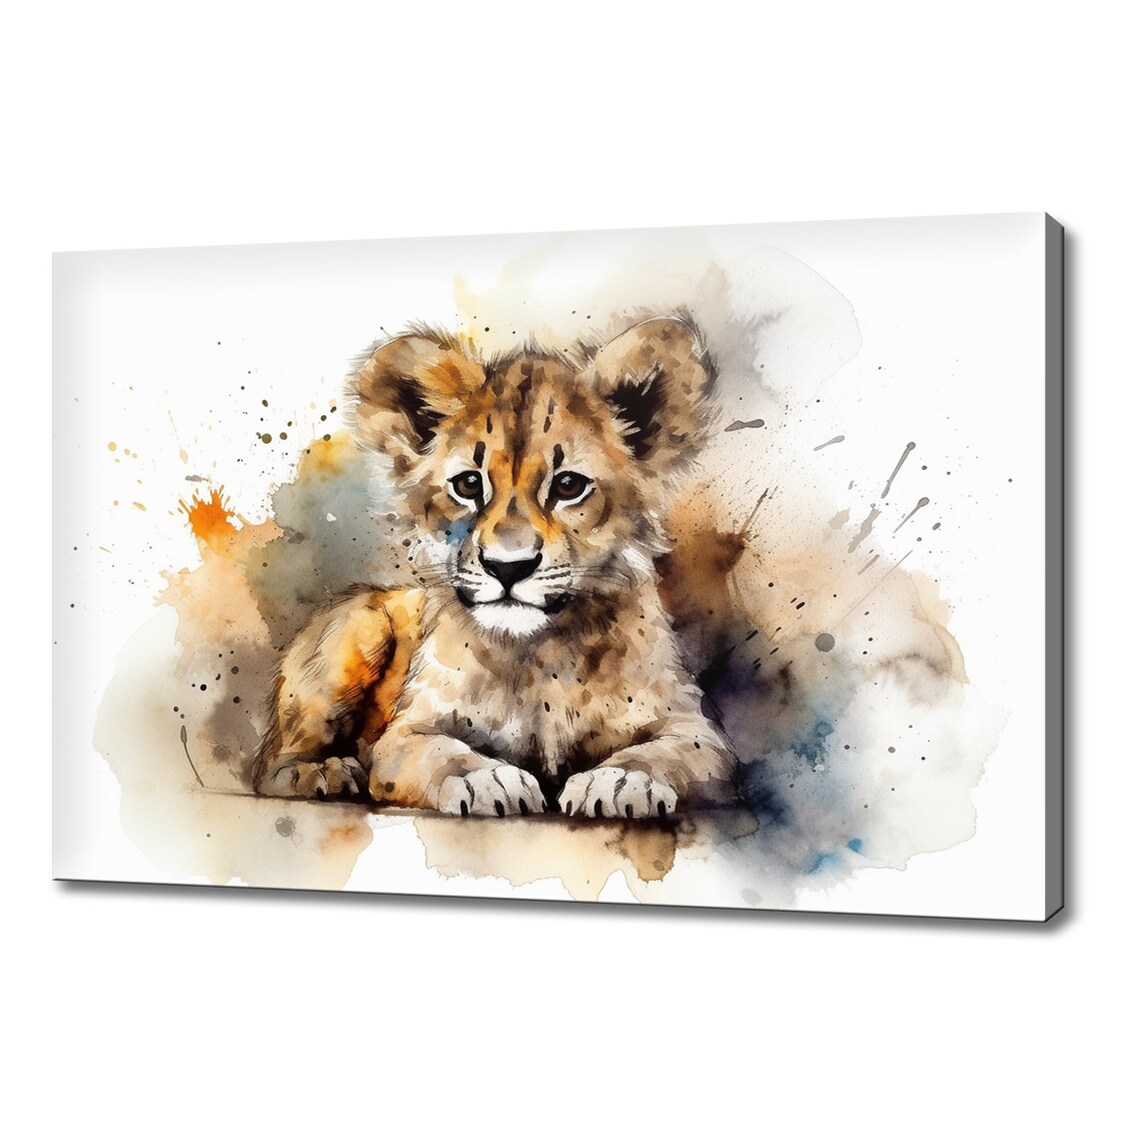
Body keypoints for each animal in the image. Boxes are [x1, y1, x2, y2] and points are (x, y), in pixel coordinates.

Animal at [251, 316, 737, 817]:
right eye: (468, 484)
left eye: (568, 485)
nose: (508, 568)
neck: (540, 656)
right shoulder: (406, 734)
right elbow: (445, 753)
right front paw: (485, 780)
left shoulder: (696, 733)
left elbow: (658, 754)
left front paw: (621, 780)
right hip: (355, 630)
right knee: (272, 761)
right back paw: (322, 772)